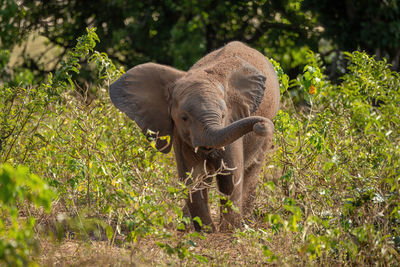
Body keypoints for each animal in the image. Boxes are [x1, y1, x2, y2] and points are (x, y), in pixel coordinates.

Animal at [108, 42, 280, 232]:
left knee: (252, 169)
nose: (261, 125)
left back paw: (245, 222)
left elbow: (230, 175)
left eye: (223, 115)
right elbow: (193, 176)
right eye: (184, 118)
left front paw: (228, 230)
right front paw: (206, 231)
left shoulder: (232, 121)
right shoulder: (180, 134)